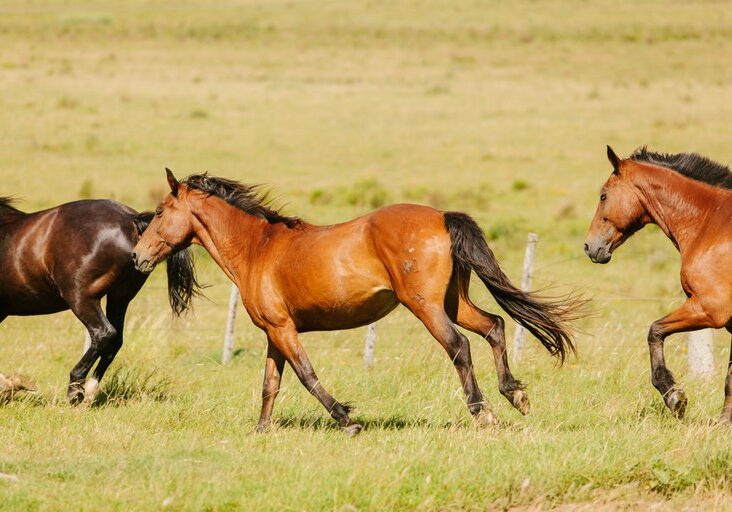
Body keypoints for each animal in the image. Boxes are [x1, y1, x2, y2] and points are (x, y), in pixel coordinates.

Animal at [0, 197, 199, 404]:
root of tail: (131, 219)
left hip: (81, 298)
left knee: (104, 333)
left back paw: (75, 390)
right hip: (119, 298)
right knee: (116, 340)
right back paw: (89, 391)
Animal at [132, 169, 582, 435]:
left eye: (160, 212)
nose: (138, 257)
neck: (258, 249)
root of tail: (440, 217)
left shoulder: (283, 328)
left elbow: (306, 375)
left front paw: (346, 419)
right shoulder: (273, 333)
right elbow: (270, 384)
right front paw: (261, 431)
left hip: (426, 306)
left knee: (459, 346)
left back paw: (482, 411)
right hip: (454, 302)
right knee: (494, 327)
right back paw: (515, 395)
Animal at [585, 146, 732, 423]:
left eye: (603, 195)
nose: (590, 246)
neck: (711, 223)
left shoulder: (709, 309)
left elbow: (654, 331)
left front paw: (674, 396)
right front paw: (723, 422)